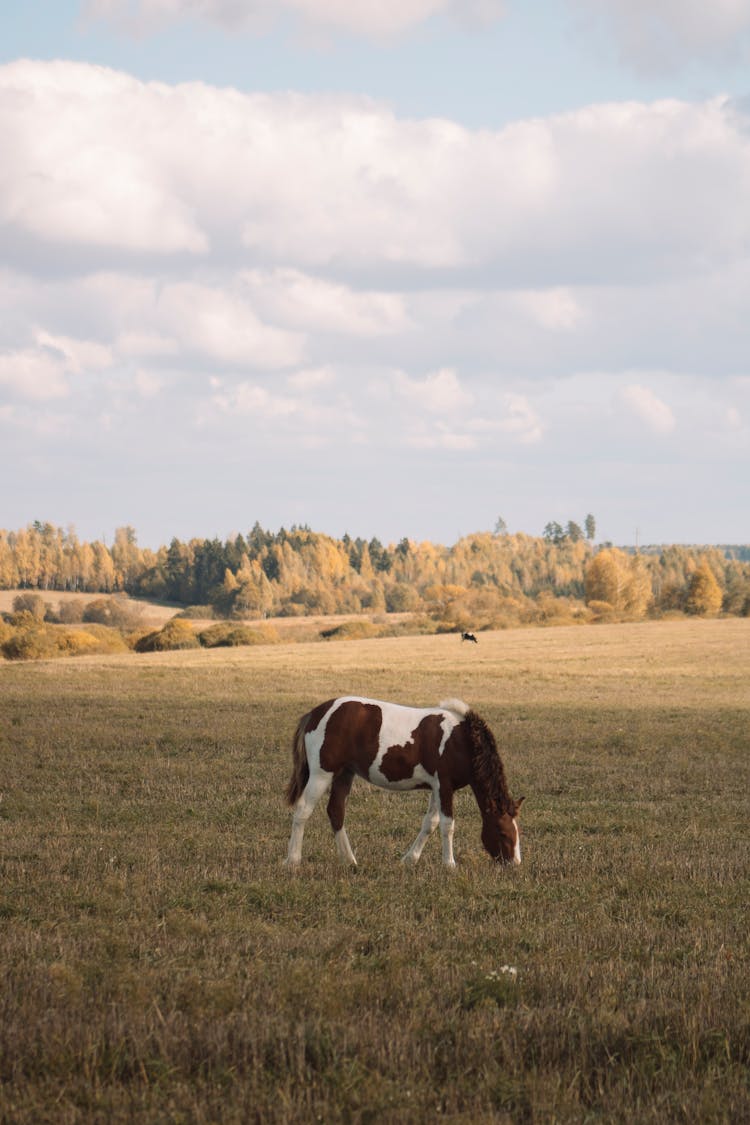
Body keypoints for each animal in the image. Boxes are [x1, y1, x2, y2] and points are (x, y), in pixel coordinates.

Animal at [284, 693, 526, 868]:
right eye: (502, 832)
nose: (514, 864)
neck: (461, 740)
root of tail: (316, 713)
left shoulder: (437, 788)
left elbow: (430, 823)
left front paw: (410, 859)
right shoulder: (445, 786)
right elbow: (447, 825)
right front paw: (449, 864)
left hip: (344, 774)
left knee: (336, 811)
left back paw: (349, 860)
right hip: (321, 774)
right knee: (303, 810)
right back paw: (292, 861)